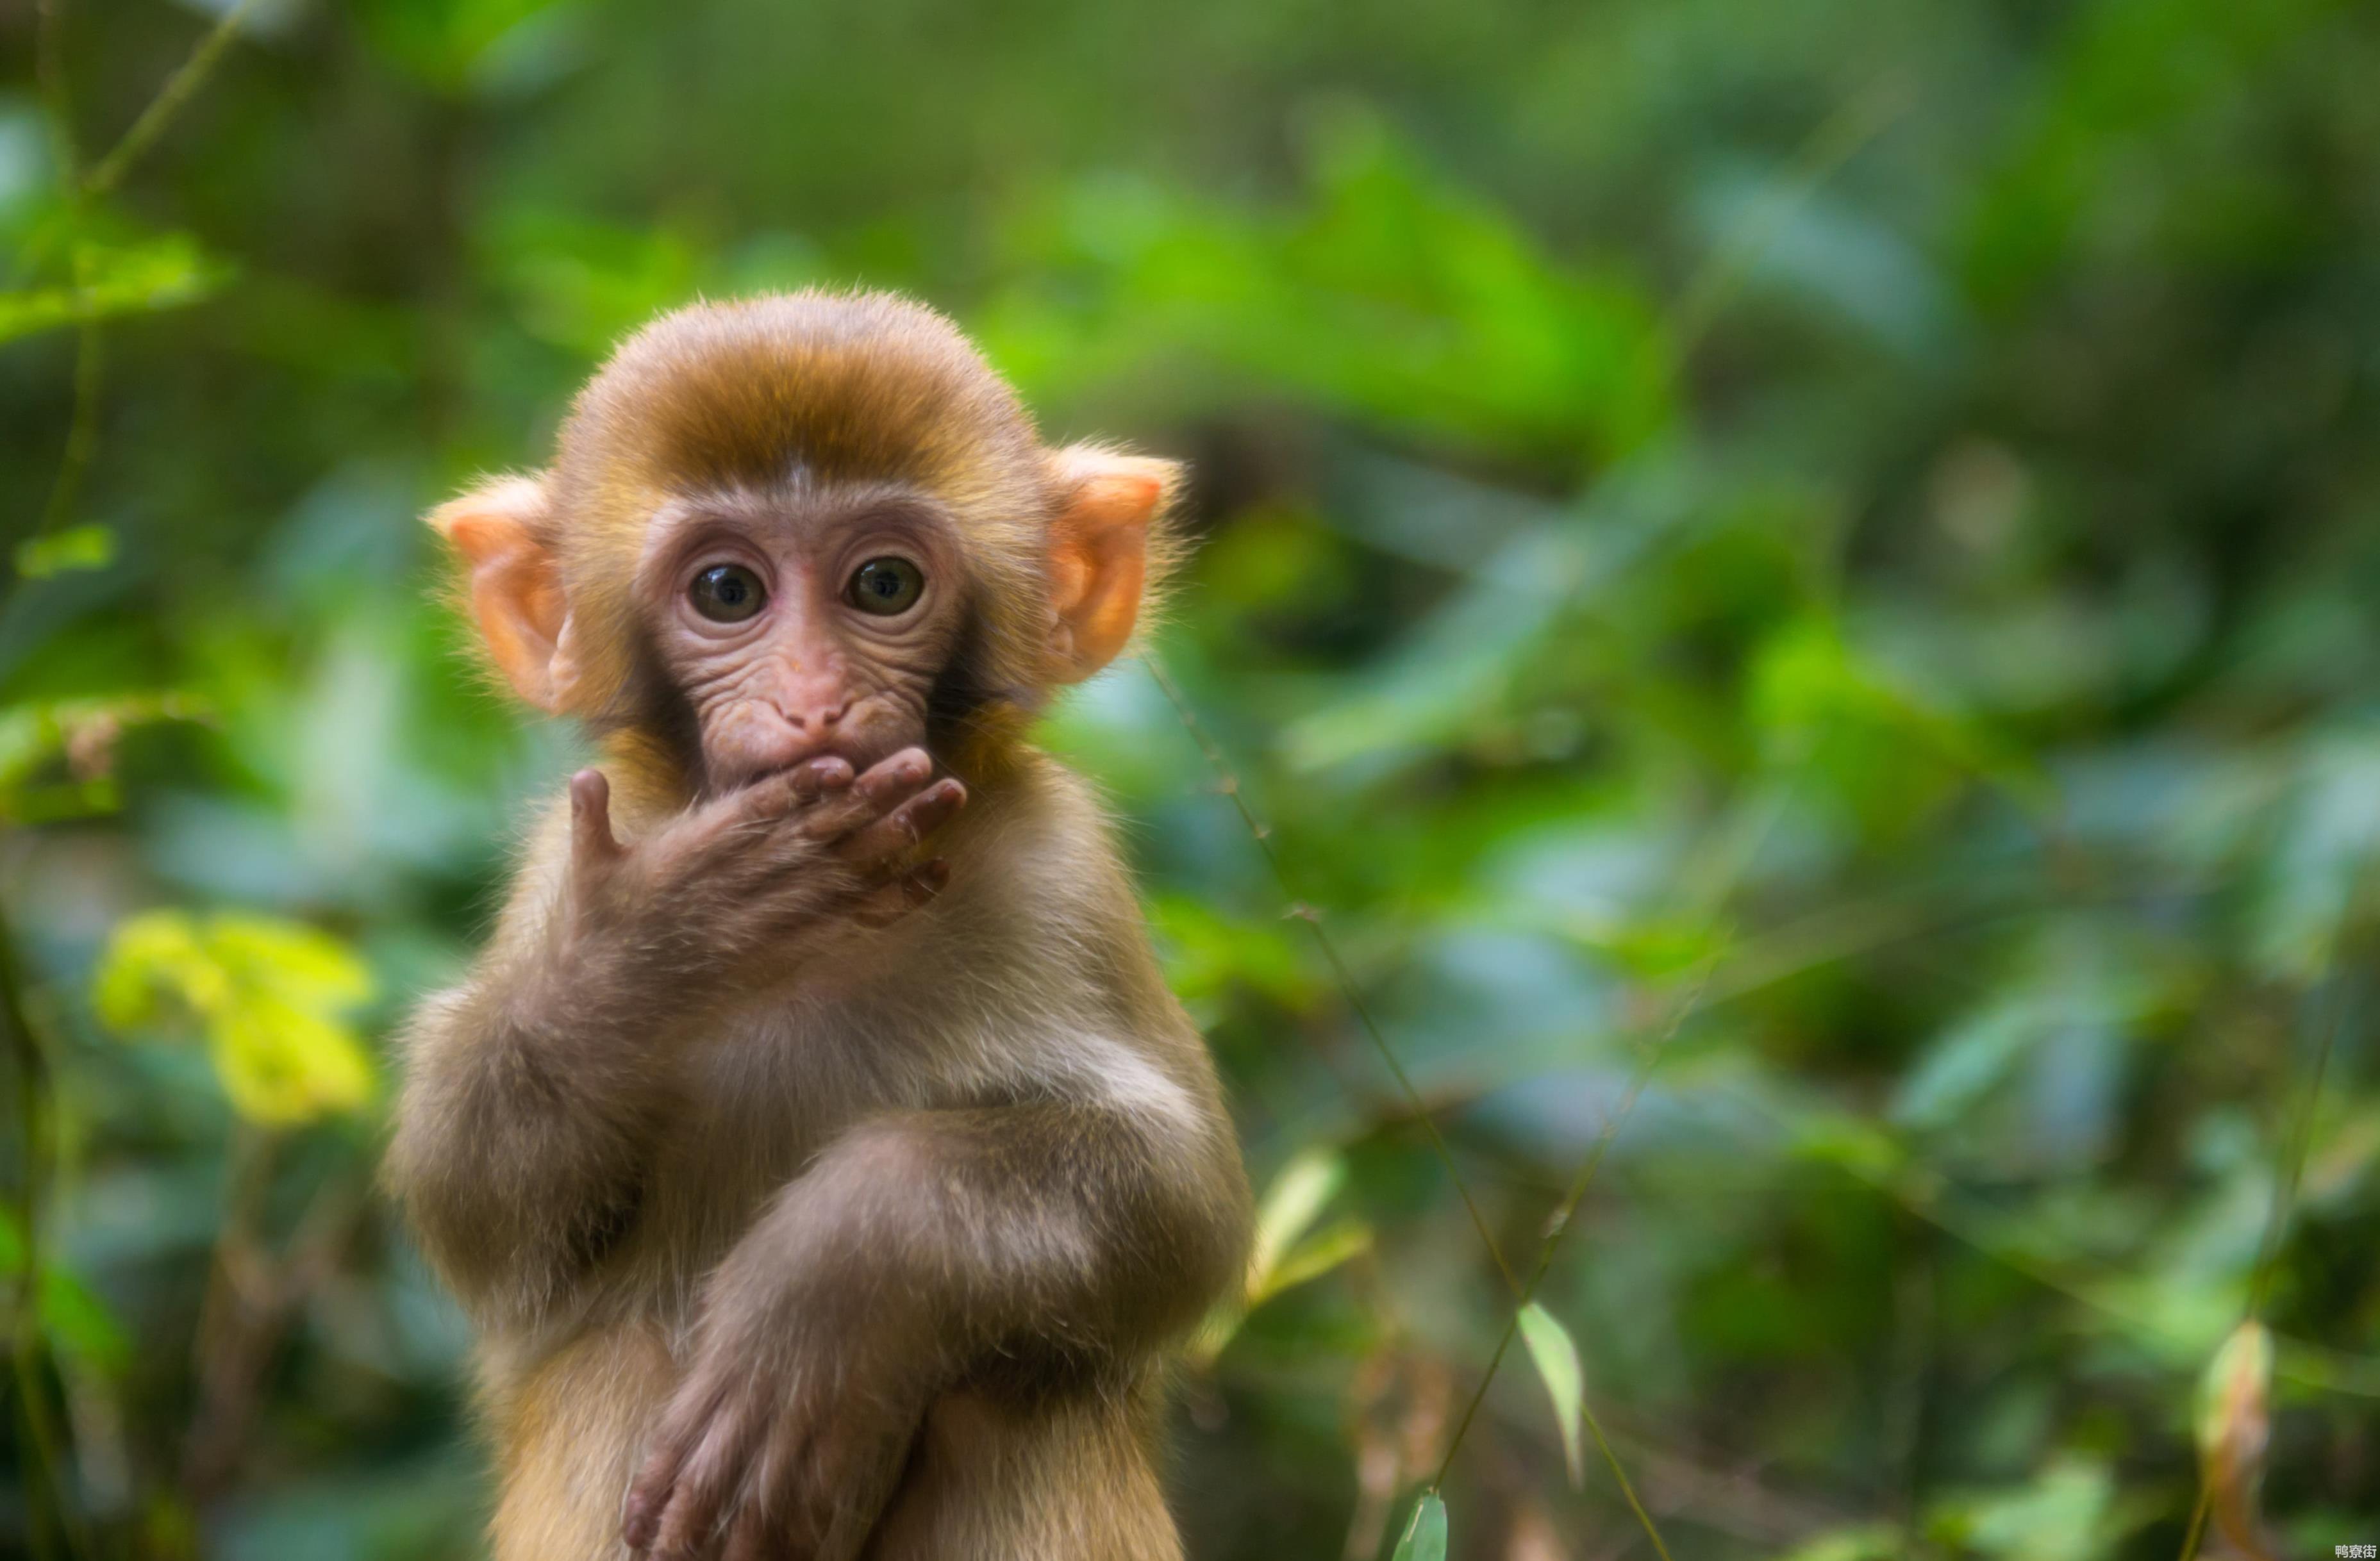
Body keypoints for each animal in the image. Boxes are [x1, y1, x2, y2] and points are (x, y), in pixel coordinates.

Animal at [381, 292, 1256, 1561]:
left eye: (883, 585)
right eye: (727, 593)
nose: (810, 701)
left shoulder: (1063, 874)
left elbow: (1182, 1199)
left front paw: (831, 1281)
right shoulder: (568, 857)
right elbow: (477, 1202)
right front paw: (664, 937)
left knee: (1020, 1404)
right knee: (615, 1359)